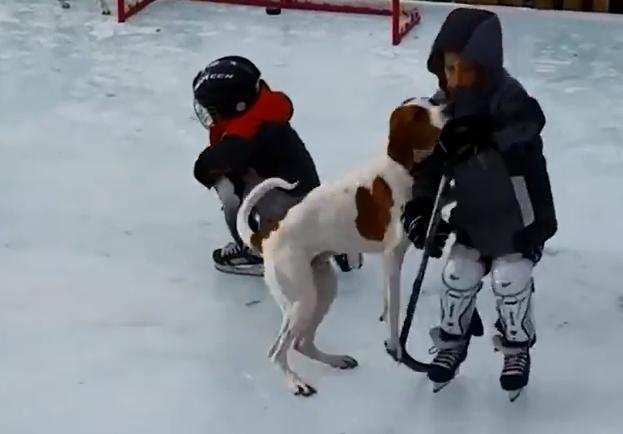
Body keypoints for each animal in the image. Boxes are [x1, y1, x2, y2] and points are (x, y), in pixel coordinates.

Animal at [236, 98, 446, 396]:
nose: (448, 106)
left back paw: (336, 360)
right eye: (418, 115)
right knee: (277, 352)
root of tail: (266, 237)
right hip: (302, 299)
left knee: (301, 343)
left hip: (322, 289)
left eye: (431, 102)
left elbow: (387, 305)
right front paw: (396, 347)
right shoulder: (392, 255)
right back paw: (295, 382)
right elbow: (395, 313)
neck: (403, 168)